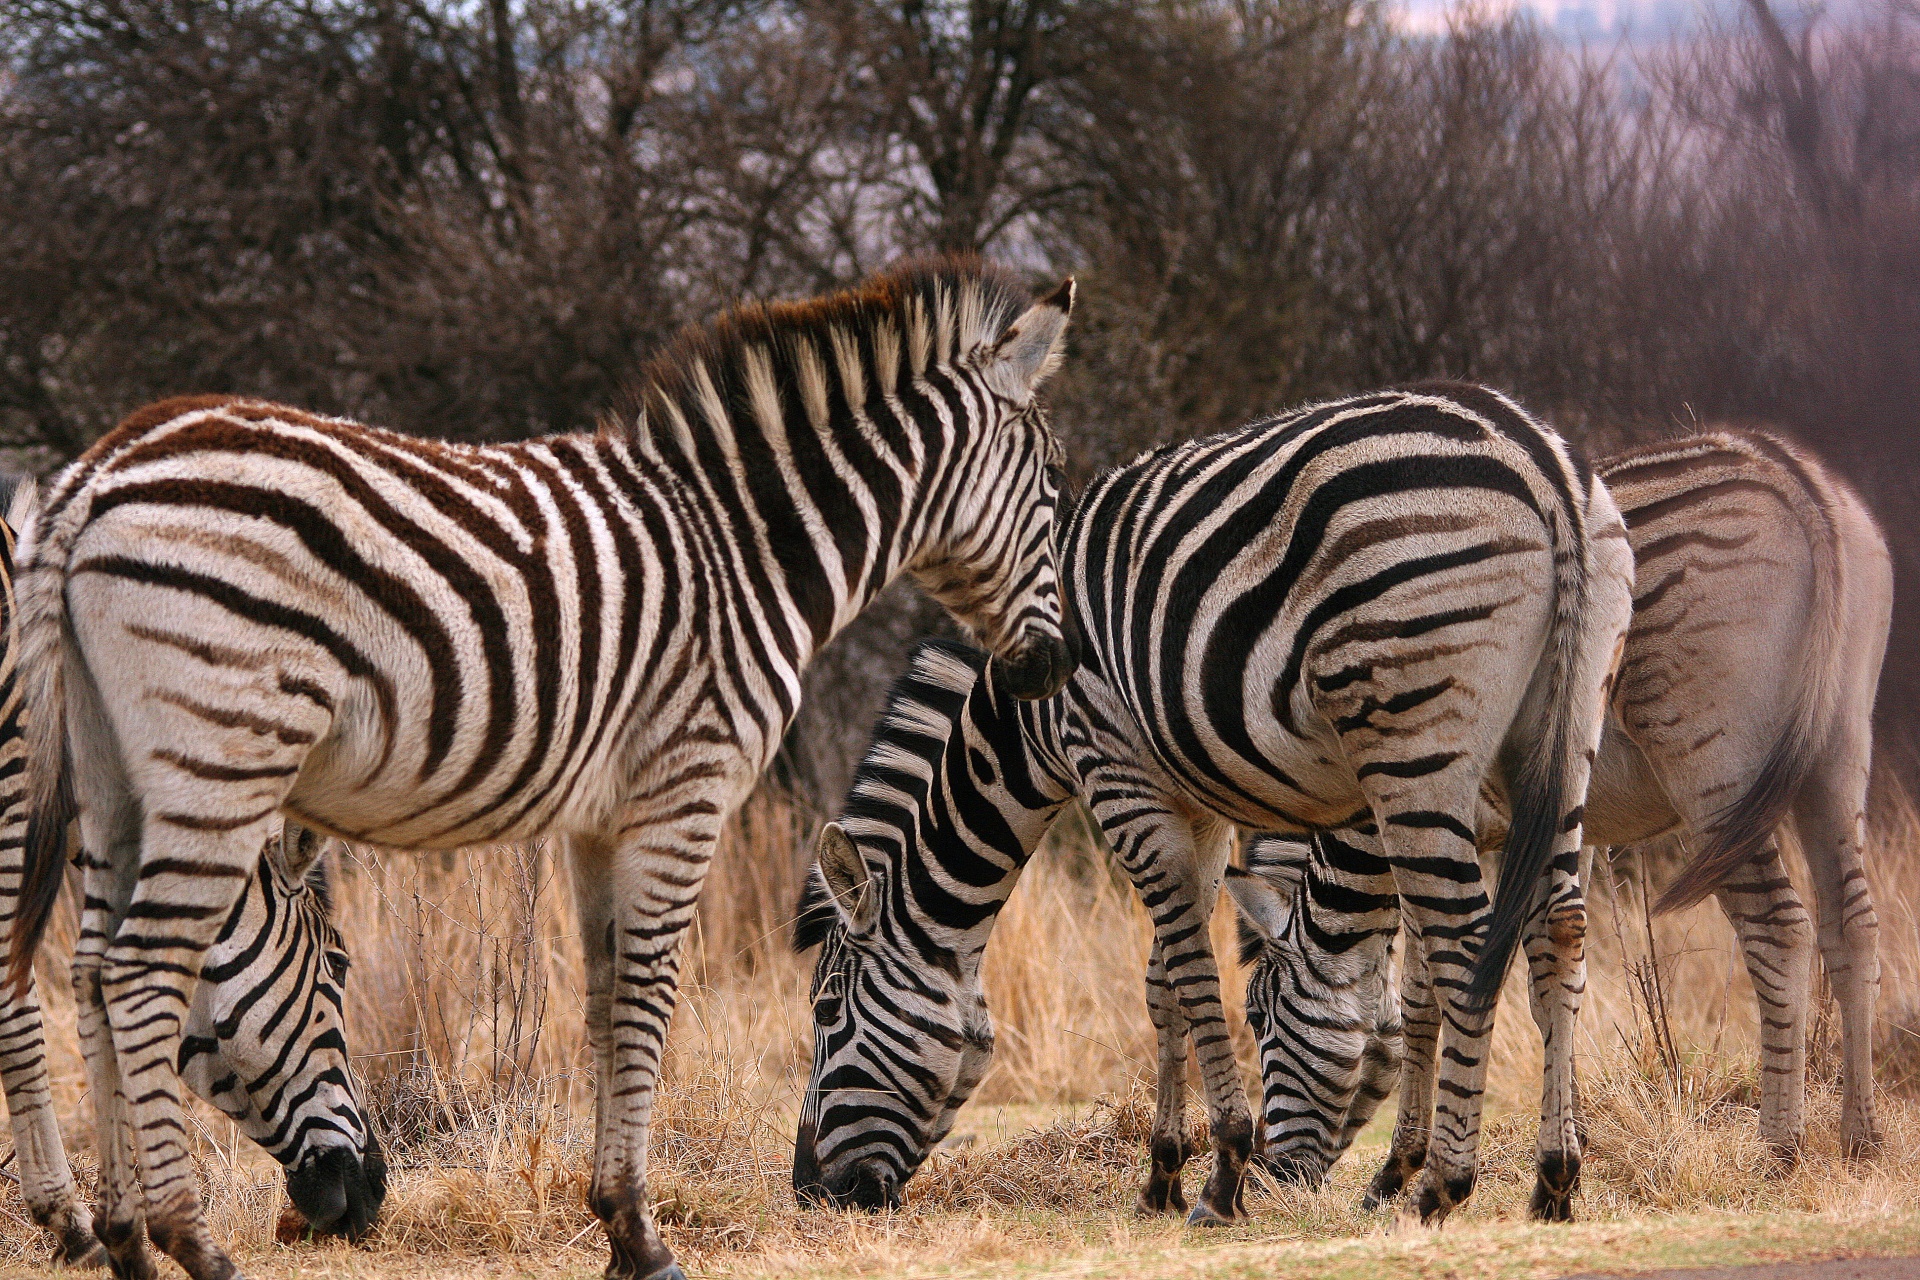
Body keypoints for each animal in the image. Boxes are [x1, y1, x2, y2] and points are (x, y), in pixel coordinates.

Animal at [787, 385, 1628, 1228]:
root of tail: (1537, 458)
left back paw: (1442, 1189)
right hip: (1562, 747)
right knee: (1558, 935)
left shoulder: (1115, 773)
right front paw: (1163, 1173)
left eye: (826, 1013)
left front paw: (1221, 1173)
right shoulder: (1199, 806)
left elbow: (1191, 973)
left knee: (1467, 948)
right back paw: (1556, 1181)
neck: (1027, 727)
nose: (808, 1193)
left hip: (1415, 745)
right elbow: (1163, 982)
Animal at [1228, 429, 1889, 1212]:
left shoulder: (1433, 824)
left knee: (1780, 930)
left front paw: (1403, 1167)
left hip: (1716, 771)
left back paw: (1780, 1152)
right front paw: (1560, 1147)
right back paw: (1860, 1139)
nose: (1269, 1181)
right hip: (1837, 754)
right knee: (1853, 926)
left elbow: (1425, 996)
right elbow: (1532, 969)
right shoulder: (1523, 831)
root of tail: (1787, 470)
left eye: (1259, 1019)